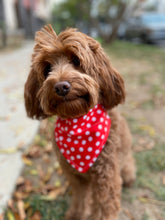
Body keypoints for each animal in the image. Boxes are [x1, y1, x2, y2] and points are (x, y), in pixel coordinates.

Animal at [24, 24, 135, 220]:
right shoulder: (76, 177)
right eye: (47, 68)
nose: (61, 87)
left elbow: (105, 208)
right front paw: (77, 214)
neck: (78, 122)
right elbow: (80, 197)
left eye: (76, 60)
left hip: (124, 166)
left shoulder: (106, 179)